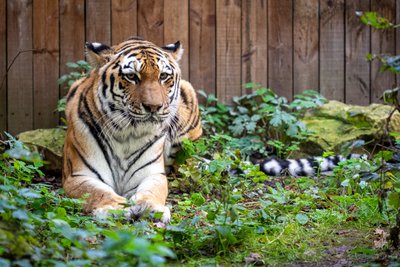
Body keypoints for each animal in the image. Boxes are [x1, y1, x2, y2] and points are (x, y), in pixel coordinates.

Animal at [63, 36, 203, 223]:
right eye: (131, 76)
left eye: (163, 76)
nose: (153, 107)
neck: (126, 134)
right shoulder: (79, 176)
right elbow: (98, 193)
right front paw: (116, 208)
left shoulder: (152, 174)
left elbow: (152, 191)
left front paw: (151, 207)